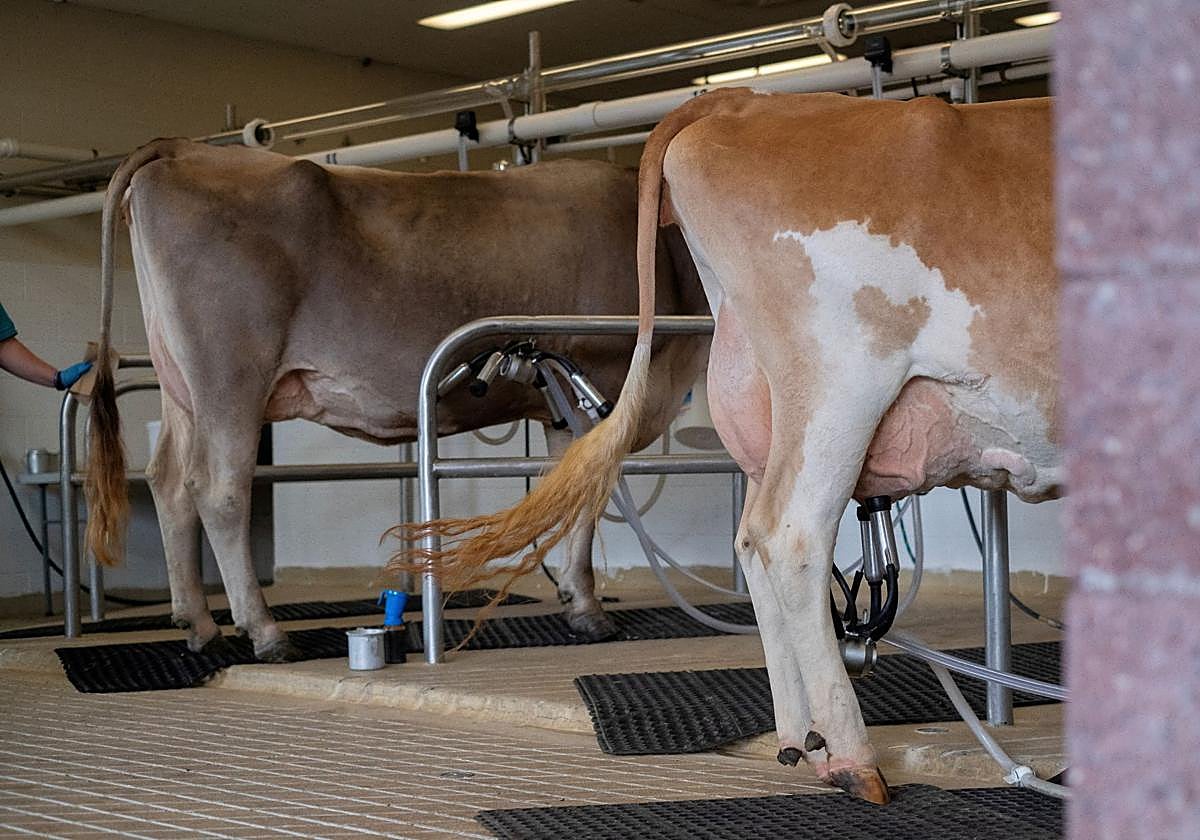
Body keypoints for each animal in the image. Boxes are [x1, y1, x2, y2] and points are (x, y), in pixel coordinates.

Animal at [85, 139, 708, 661]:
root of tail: (184, 149)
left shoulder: (559, 399)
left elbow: (567, 492)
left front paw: (574, 597)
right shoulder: (597, 383)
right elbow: (588, 497)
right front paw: (588, 609)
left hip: (181, 387)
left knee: (168, 480)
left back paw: (197, 623)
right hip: (230, 376)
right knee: (218, 489)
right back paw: (264, 632)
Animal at [392, 90, 1059, 804]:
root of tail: (748, 97)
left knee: (752, 541)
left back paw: (802, 739)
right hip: (840, 387)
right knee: (790, 536)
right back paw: (853, 760)